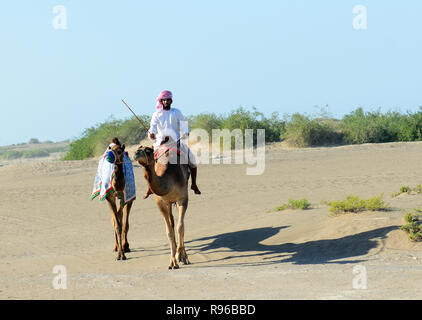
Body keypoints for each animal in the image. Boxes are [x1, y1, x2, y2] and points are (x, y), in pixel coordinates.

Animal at [134, 139, 191, 268]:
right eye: (139, 148)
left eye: (148, 151)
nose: (136, 153)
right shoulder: (160, 202)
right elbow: (169, 231)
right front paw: (172, 262)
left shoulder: (183, 198)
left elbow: (181, 227)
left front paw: (180, 256)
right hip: (169, 203)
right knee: (172, 222)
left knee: (179, 224)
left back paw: (183, 256)